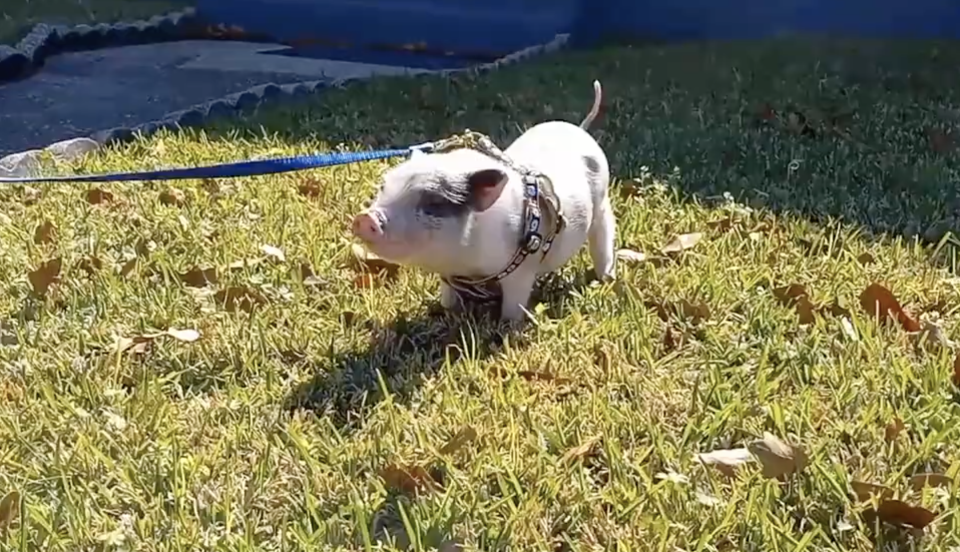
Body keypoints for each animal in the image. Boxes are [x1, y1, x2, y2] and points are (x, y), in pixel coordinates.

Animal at [352, 80, 616, 322]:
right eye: (384, 187)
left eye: (434, 204)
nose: (365, 218)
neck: (466, 264)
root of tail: (580, 129)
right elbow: (448, 298)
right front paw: (446, 312)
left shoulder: (521, 270)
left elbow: (514, 305)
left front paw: (507, 328)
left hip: (602, 203)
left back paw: (605, 278)